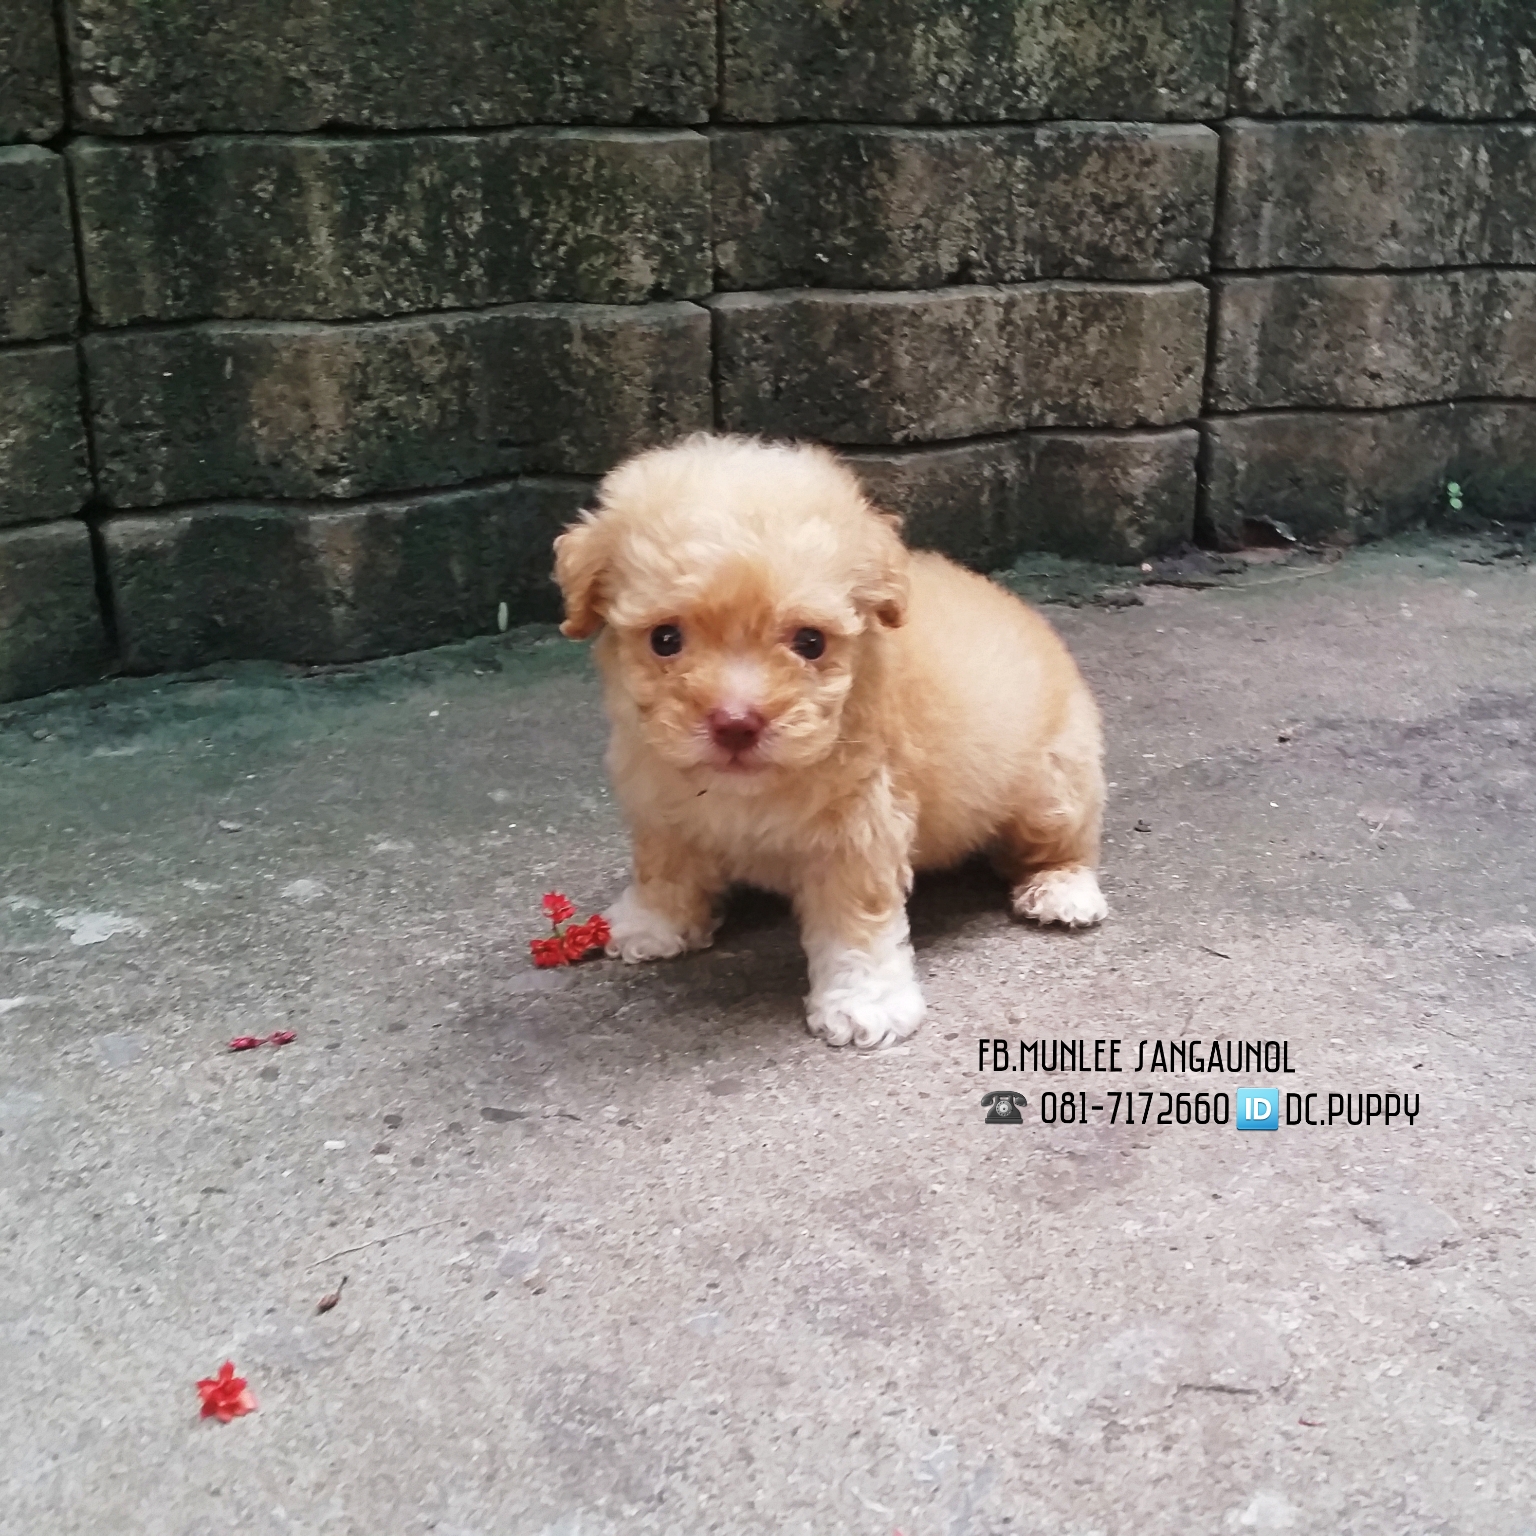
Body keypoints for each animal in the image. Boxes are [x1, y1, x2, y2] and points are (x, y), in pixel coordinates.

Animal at [553, 434, 1107, 1049]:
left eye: (810, 642)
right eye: (665, 639)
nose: (736, 722)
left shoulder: (857, 831)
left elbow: (855, 925)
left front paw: (865, 1003)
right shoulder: (660, 804)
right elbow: (665, 866)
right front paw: (653, 922)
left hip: (1053, 785)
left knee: (1061, 841)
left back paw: (1061, 889)